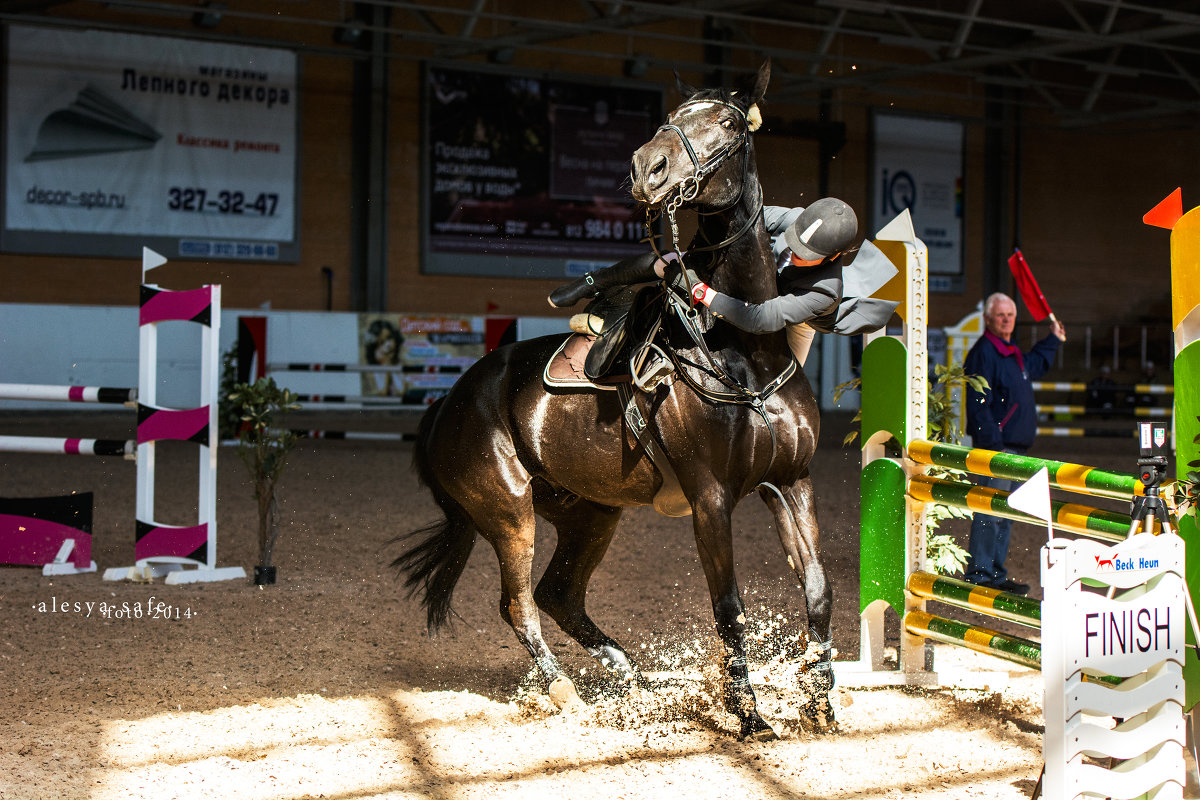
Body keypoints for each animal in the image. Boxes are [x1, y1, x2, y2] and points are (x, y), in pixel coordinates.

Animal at [391, 61, 825, 738]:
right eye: (670, 116)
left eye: (729, 123)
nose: (648, 166)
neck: (745, 349)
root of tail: (447, 404)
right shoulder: (711, 500)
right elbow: (729, 606)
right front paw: (750, 716)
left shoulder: (791, 482)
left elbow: (817, 592)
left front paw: (822, 702)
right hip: (509, 512)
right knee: (520, 604)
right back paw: (564, 690)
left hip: (590, 513)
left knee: (559, 595)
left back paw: (639, 683)